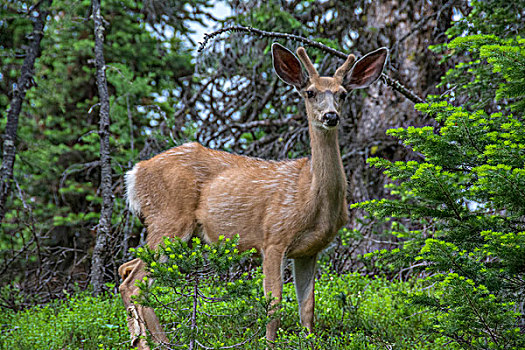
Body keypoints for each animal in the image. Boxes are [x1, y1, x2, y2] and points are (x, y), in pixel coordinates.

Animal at [119, 42, 388, 348]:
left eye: (343, 93)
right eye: (310, 92)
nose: (331, 116)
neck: (311, 196)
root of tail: (135, 173)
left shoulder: (310, 250)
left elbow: (308, 307)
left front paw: (309, 341)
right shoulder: (273, 236)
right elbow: (274, 302)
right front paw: (270, 343)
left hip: (176, 234)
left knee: (129, 270)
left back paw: (156, 341)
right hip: (168, 220)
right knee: (132, 283)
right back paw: (149, 342)